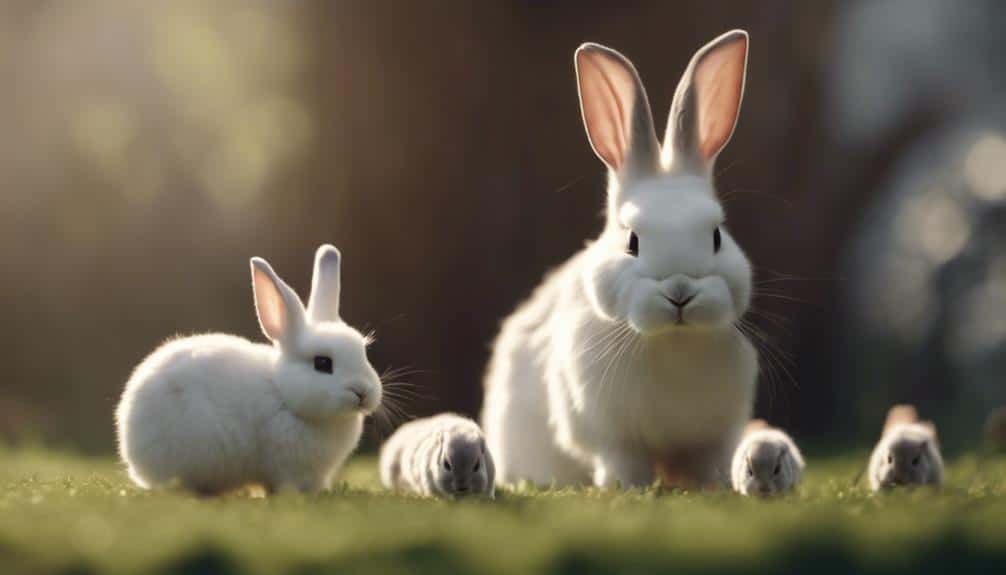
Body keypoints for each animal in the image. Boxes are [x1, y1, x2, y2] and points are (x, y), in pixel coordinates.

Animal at [481, 30, 758, 489]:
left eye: (717, 236)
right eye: (632, 241)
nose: (679, 291)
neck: (671, 342)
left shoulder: (708, 441)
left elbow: (704, 464)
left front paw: (712, 485)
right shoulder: (611, 438)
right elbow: (623, 463)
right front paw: (624, 487)